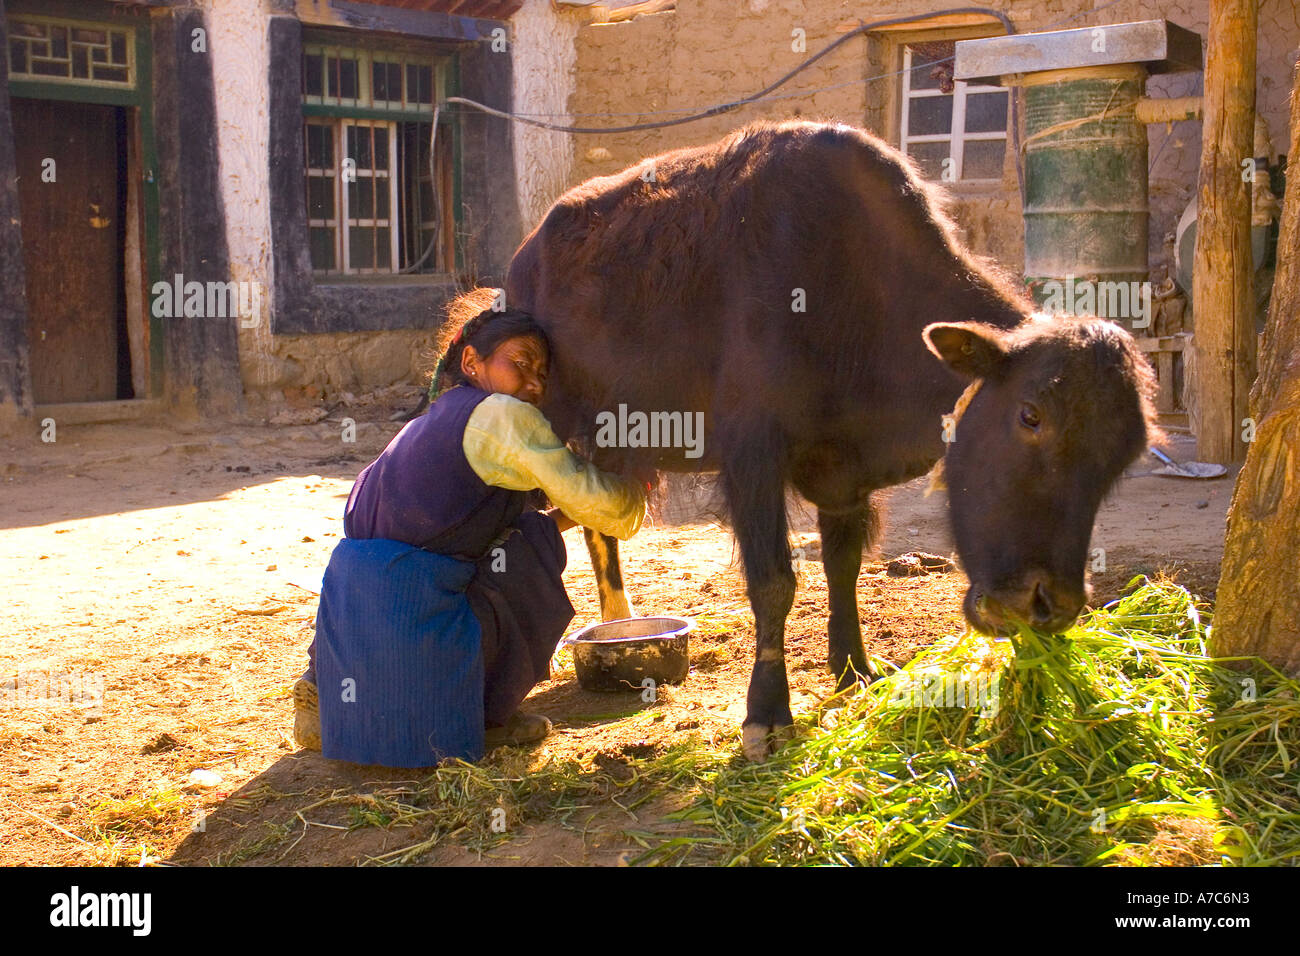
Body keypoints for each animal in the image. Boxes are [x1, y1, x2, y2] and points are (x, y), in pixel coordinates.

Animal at [499, 119, 1159, 764]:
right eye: (1030, 415)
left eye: (1125, 457)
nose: (1045, 606)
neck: (855, 290)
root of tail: (524, 260)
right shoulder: (753, 460)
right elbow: (774, 583)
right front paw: (767, 718)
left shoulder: (845, 480)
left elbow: (843, 571)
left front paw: (855, 674)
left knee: (596, 525)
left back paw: (621, 619)